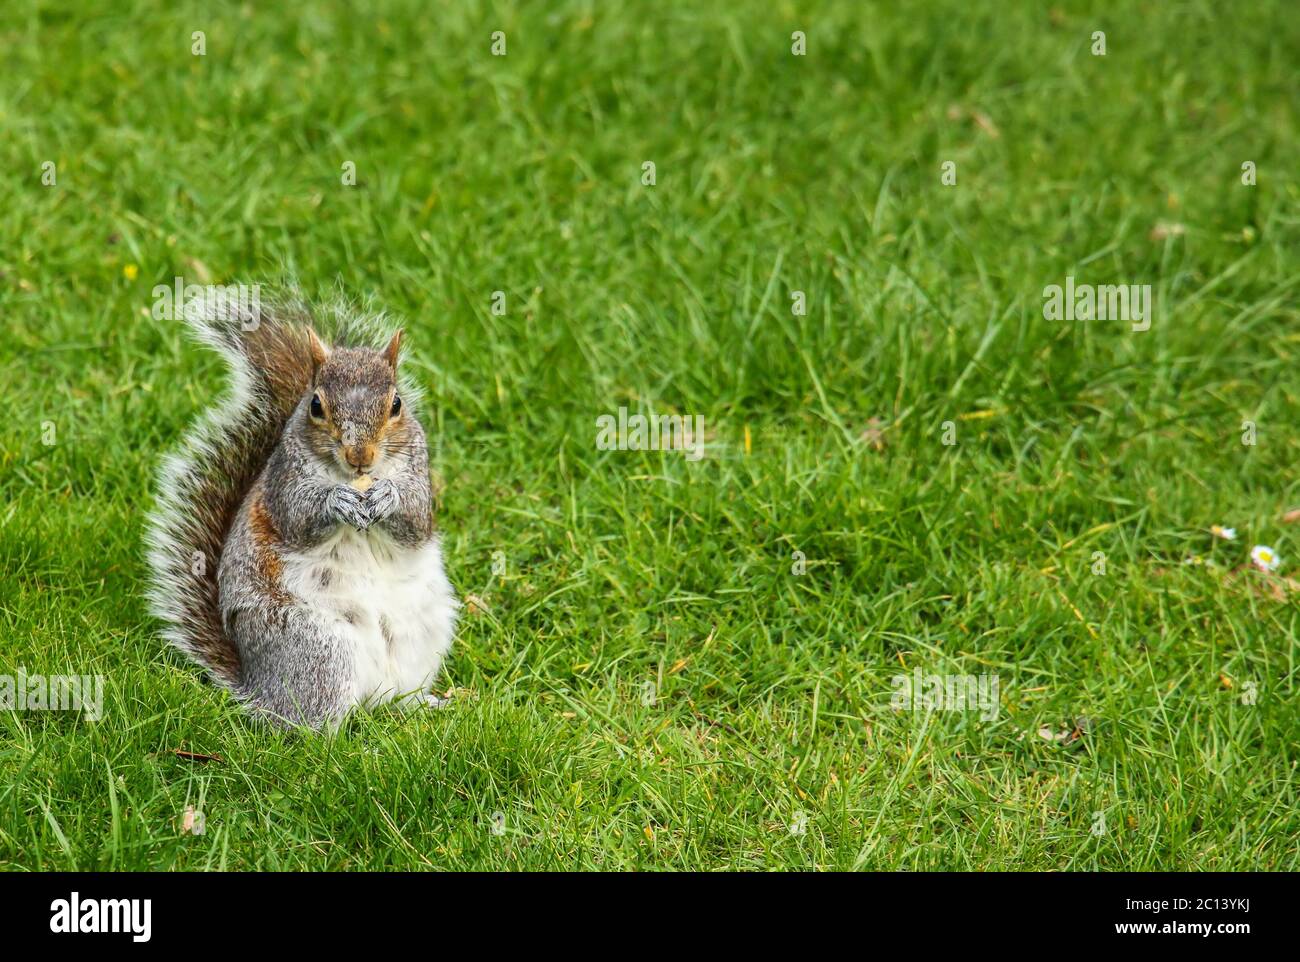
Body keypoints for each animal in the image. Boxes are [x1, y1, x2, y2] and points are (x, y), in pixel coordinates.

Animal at [144, 292, 459, 729]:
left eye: (396, 404)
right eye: (315, 405)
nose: (360, 456)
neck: (356, 477)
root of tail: (257, 687)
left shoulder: (419, 472)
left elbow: (415, 519)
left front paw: (388, 497)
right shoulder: (283, 482)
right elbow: (298, 517)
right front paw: (336, 501)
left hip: (419, 637)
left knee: (391, 700)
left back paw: (424, 705)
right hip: (319, 648)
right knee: (308, 720)